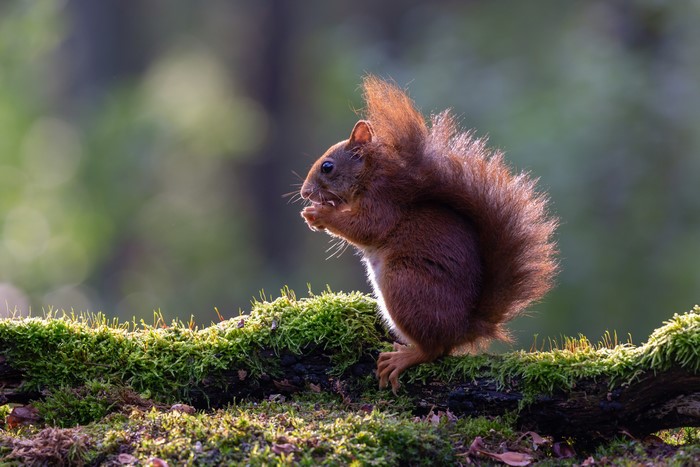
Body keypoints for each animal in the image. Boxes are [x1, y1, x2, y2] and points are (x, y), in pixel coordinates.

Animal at [300, 76, 558, 392]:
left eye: (327, 167)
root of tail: (464, 328)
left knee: (435, 350)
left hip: (406, 285)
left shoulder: (383, 203)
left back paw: (404, 357)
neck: (371, 176)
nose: (304, 192)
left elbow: (366, 227)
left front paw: (319, 214)